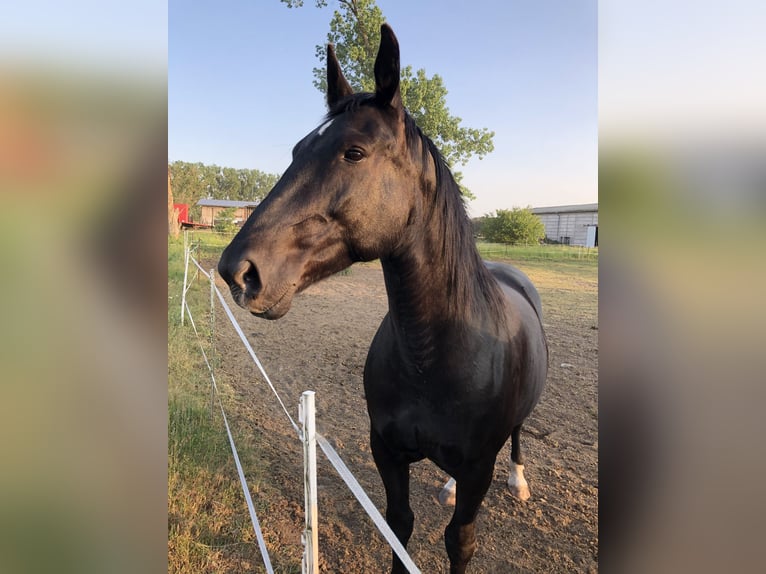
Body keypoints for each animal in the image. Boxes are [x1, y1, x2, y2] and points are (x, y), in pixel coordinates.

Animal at [218, 24, 548, 574]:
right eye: (296, 150)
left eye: (353, 152)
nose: (237, 271)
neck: (434, 358)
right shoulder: (387, 452)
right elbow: (399, 527)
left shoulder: (479, 468)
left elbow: (460, 541)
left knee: (520, 434)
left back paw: (519, 479)